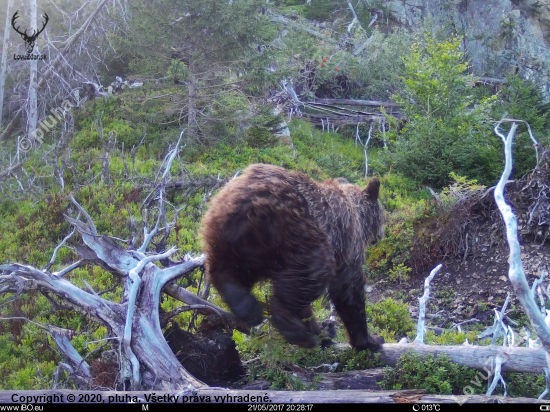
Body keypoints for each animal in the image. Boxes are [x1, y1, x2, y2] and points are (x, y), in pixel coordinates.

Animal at [201, 164, 386, 350]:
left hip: (231, 236)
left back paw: (245, 307)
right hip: (302, 237)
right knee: (309, 278)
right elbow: (349, 288)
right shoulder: (347, 244)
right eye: (382, 216)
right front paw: (369, 339)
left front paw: (322, 331)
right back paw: (295, 332)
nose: (381, 235)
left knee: (227, 270)